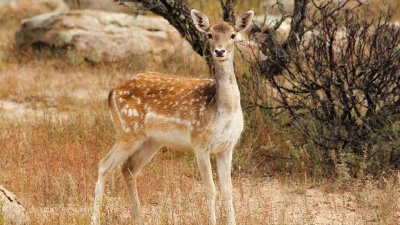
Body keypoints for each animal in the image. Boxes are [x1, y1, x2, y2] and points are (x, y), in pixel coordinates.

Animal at [90, 8, 253, 225]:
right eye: (209, 35)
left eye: (233, 35)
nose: (219, 51)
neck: (223, 110)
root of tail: (112, 92)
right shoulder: (200, 142)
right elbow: (210, 189)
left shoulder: (227, 147)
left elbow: (228, 190)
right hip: (127, 131)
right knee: (104, 165)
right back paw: (95, 219)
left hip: (151, 141)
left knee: (128, 168)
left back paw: (139, 219)